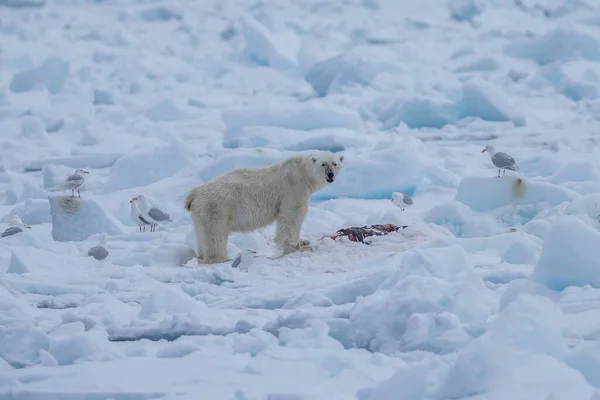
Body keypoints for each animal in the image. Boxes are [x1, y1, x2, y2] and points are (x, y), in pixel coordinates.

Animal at [183, 152, 344, 264]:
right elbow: (292, 216)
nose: (330, 175)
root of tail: (194, 193)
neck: (301, 171)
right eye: (323, 164)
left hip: (201, 212)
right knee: (215, 235)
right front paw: (299, 248)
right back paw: (219, 258)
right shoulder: (293, 189)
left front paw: (304, 241)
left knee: (201, 233)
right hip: (216, 207)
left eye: (335, 163)